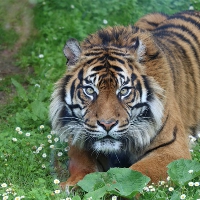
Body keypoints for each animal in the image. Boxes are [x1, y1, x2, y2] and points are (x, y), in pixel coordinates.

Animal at [49, 10, 200, 188]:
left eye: (124, 91)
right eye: (89, 90)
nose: (107, 124)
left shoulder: (172, 149)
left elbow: (136, 174)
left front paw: (111, 187)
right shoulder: (80, 139)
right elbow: (82, 165)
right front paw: (74, 184)